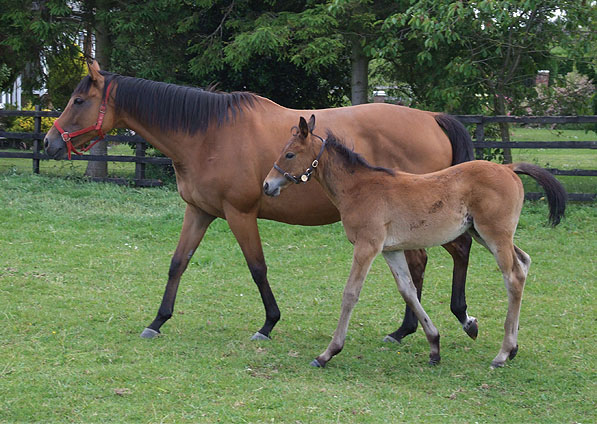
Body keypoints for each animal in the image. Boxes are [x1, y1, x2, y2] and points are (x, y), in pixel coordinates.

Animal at [44, 61, 478, 342]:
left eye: (79, 101)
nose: (49, 142)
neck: (208, 135)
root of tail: (431, 118)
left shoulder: (240, 214)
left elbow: (257, 268)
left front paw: (268, 324)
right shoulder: (198, 212)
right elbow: (177, 263)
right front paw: (158, 320)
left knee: (447, 255)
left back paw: (440, 320)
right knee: (422, 263)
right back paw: (407, 328)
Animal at [262, 116, 564, 368]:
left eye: (289, 154)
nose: (267, 185)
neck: (359, 188)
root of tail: (509, 168)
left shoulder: (367, 246)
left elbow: (350, 294)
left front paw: (327, 353)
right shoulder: (391, 250)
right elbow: (407, 290)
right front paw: (434, 346)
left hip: (495, 235)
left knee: (513, 277)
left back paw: (502, 354)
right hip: (484, 234)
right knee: (523, 263)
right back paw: (512, 349)